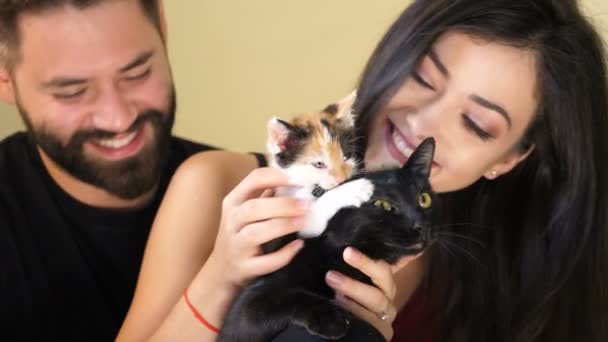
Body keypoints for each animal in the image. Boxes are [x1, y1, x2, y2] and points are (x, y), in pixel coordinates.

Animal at [218, 138, 436, 340]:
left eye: (424, 199)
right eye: (382, 204)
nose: (420, 226)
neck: (341, 264)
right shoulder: (245, 312)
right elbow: (283, 297)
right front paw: (331, 317)